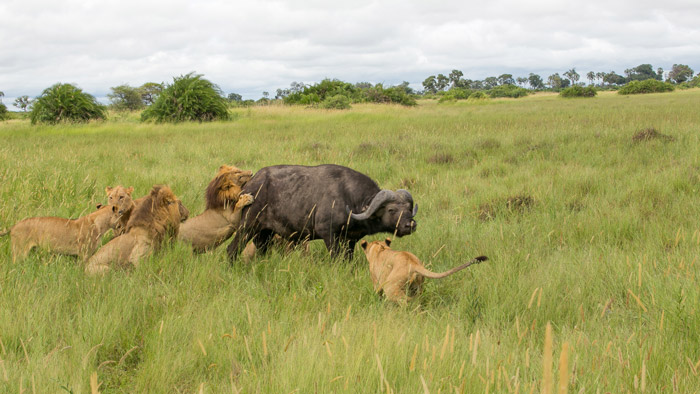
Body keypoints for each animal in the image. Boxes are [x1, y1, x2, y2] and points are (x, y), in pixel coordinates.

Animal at [227, 164, 418, 260]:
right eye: (391, 209)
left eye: (409, 209)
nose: (410, 225)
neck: (349, 199)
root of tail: (249, 186)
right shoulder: (329, 234)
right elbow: (335, 258)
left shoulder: (350, 240)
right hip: (248, 227)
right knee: (232, 249)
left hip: (264, 234)